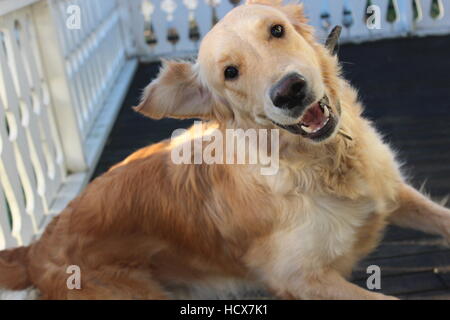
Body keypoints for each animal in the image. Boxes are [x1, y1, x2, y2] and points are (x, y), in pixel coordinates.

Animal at [0, 0, 450, 300]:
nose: (290, 91)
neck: (318, 162)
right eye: (230, 72)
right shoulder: (301, 279)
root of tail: (34, 248)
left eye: (276, 30)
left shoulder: (392, 190)